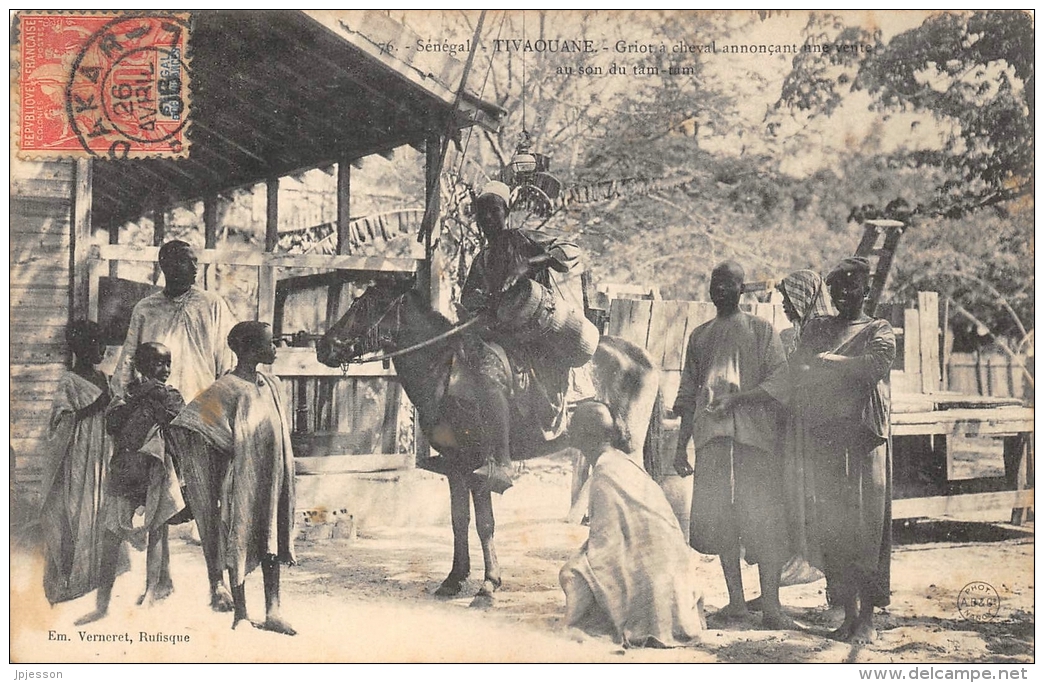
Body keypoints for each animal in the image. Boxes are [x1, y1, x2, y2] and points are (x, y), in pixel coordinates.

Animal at [313, 281, 663, 601]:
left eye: (363, 306)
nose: (323, 346)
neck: (445, 371)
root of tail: (644, 357)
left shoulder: (480, 466)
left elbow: (485, 523)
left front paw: (489, 583)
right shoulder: (455, 466)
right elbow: (459, 521)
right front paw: (454, 579)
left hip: (627, 448)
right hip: (596, 448)